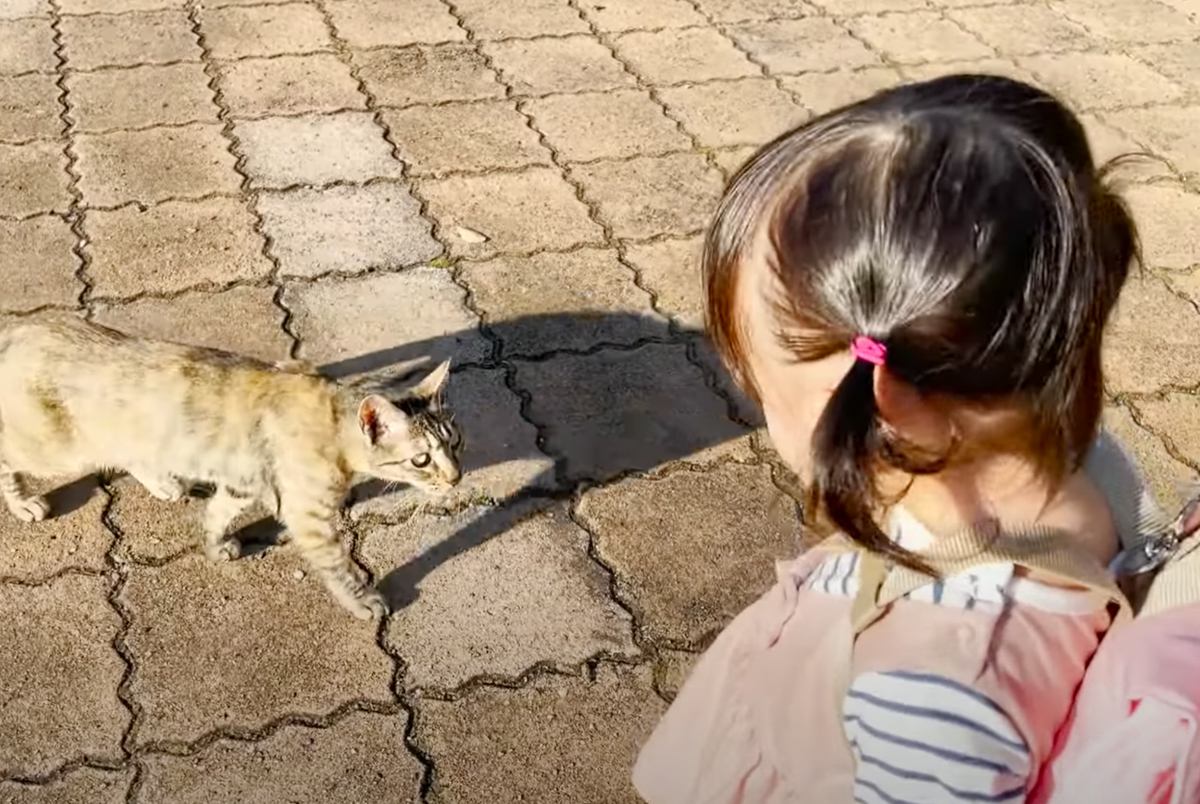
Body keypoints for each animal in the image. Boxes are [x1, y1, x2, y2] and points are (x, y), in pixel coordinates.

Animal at [0, 319, 463, 619]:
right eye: (421, 459)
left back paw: (164, 482)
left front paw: (214, 543)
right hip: (53, 448)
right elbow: (339, 566)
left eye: (455, 442)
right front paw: (362, 600)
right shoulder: (309, 518)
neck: (332, 419)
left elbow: (217, 514)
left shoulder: (243, 481)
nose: (457, 477)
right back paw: (23, 504)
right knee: (9, 455)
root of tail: (20, 327)